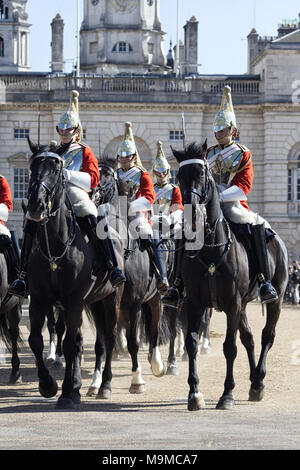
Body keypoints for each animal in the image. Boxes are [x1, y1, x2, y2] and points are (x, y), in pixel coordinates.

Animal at [24, 140, 125, 408]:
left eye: (57, 169)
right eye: (32, 167)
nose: (36, 205)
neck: (55, 245)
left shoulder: (74, 300)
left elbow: (69, 344)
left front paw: (68, 393)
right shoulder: (39, 299)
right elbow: (36, 340)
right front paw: (48, 385)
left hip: (111, 299)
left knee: (109, 337)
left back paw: (104, 385)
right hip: (95, 302)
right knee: (83, 340)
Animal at [86, 157, 168, 396]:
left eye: (106, 175)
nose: (90, 193)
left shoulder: (136, 302)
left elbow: (133, 341)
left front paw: (136, 380)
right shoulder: (98, 303)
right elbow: (102, 343)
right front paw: (96, 383)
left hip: (155, 298)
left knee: (154, 328)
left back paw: (157, 364)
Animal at [172, 141, 290, 410]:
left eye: (202, 174)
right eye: (179, 176)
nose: (192, 215)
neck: (210, 248)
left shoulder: (233, 304)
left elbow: (229, 347)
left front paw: (227, 394)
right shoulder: (194, 303)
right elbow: (192, 342)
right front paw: (194, 393)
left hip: (274, 299)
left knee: (267, 335)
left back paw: (259, 379)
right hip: (244, 305)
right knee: (249, 338)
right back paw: (254, 383)